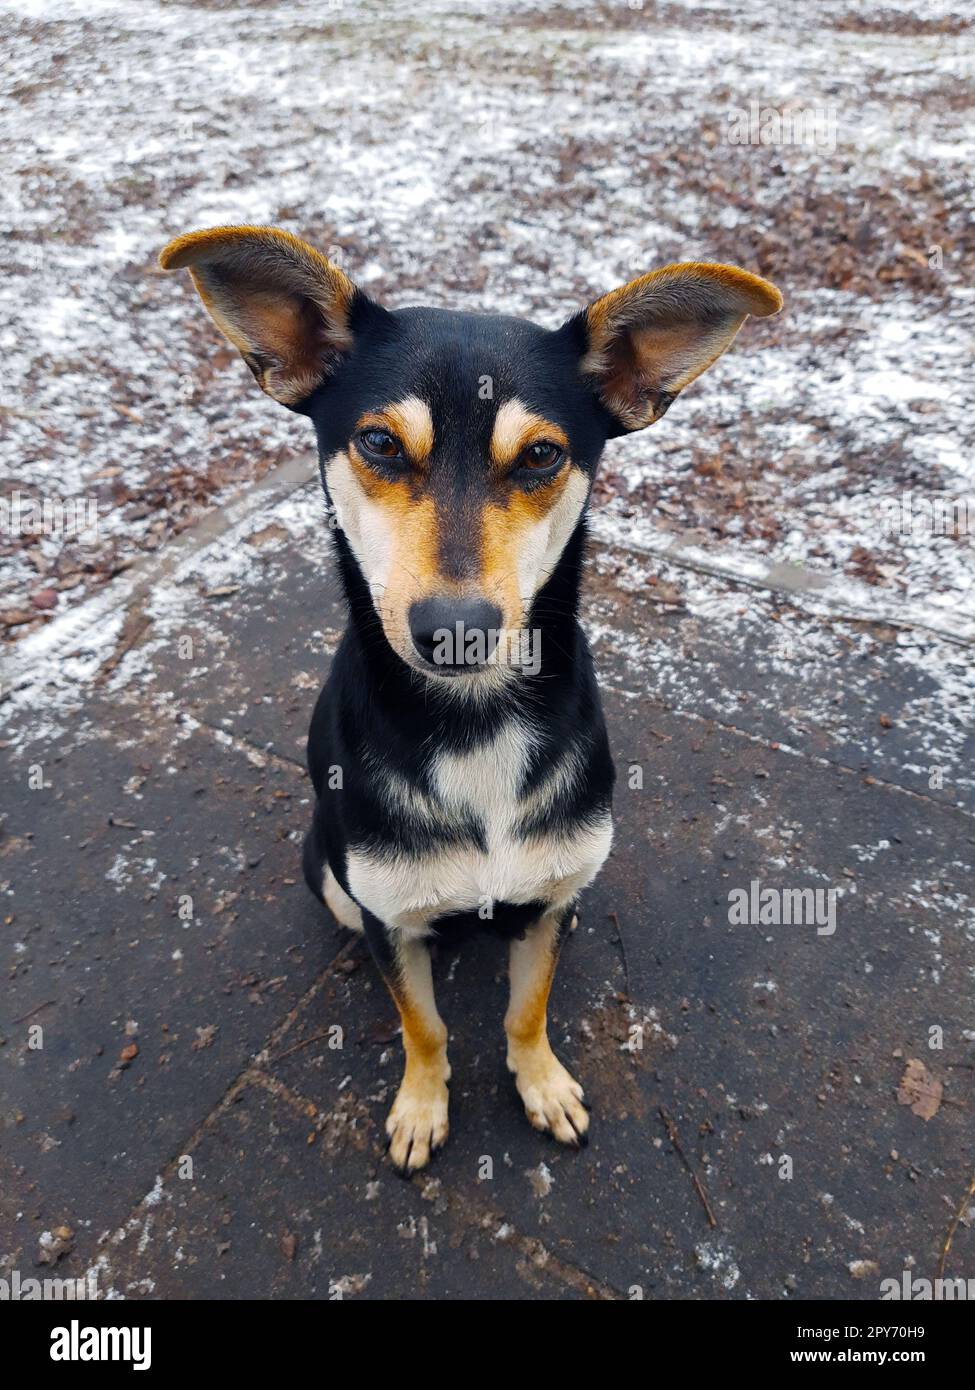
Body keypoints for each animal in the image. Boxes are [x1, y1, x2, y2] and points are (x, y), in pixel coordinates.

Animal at [159, 222, 784, 1167]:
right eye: (380, 444)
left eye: (541, 454)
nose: (454, 629)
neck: (474, 722)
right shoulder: (387, 913)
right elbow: (422, 1024)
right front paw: (422, 1105)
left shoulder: (552, 896)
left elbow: (527, 1009)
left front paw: (542, 1084)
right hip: (328, 871)